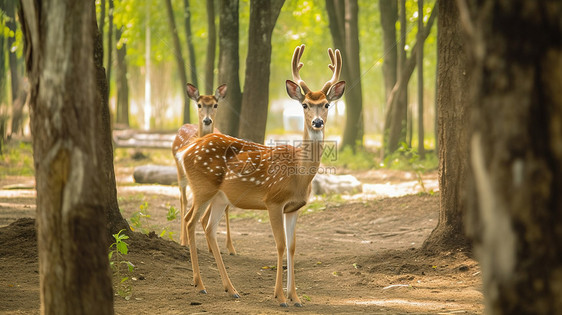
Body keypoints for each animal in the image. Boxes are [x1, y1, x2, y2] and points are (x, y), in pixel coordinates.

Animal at [176, 45, 342, 308]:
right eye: (305, 105)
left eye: (326, 105)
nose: (317, 123)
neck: (298, 174)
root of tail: (186, 150)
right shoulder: (273, 200)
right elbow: (280, 245)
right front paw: (280, 297)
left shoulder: (294, 207)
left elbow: (293, 247)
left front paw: (296, 297)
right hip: (203, 187)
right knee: (191, 220)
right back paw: (200, 285)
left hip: (220, 196)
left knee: (208, 227)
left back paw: (230, 289)